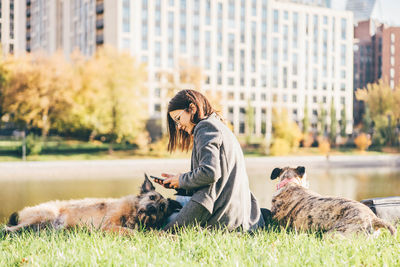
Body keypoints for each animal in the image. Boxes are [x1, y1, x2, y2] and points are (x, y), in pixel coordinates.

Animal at [3, 176, 182, 234]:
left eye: (162, 208)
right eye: (151, 197)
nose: (151, 209)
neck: (133, 214)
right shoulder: (108, 226)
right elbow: (133, 232)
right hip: (45, 215)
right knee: (10, 227)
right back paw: (7, 232)